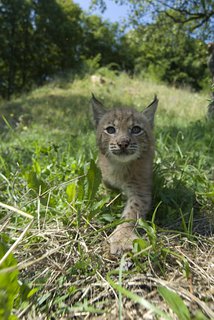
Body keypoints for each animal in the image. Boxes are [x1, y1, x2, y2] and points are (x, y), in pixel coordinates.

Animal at [91, 94, 158, 254]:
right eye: (110, 129)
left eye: (136, 129)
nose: (123, 143)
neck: (119, 165)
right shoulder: (105, 177)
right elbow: (108, 188)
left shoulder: (140, 191)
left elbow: (131, 213)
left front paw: (121, 237)